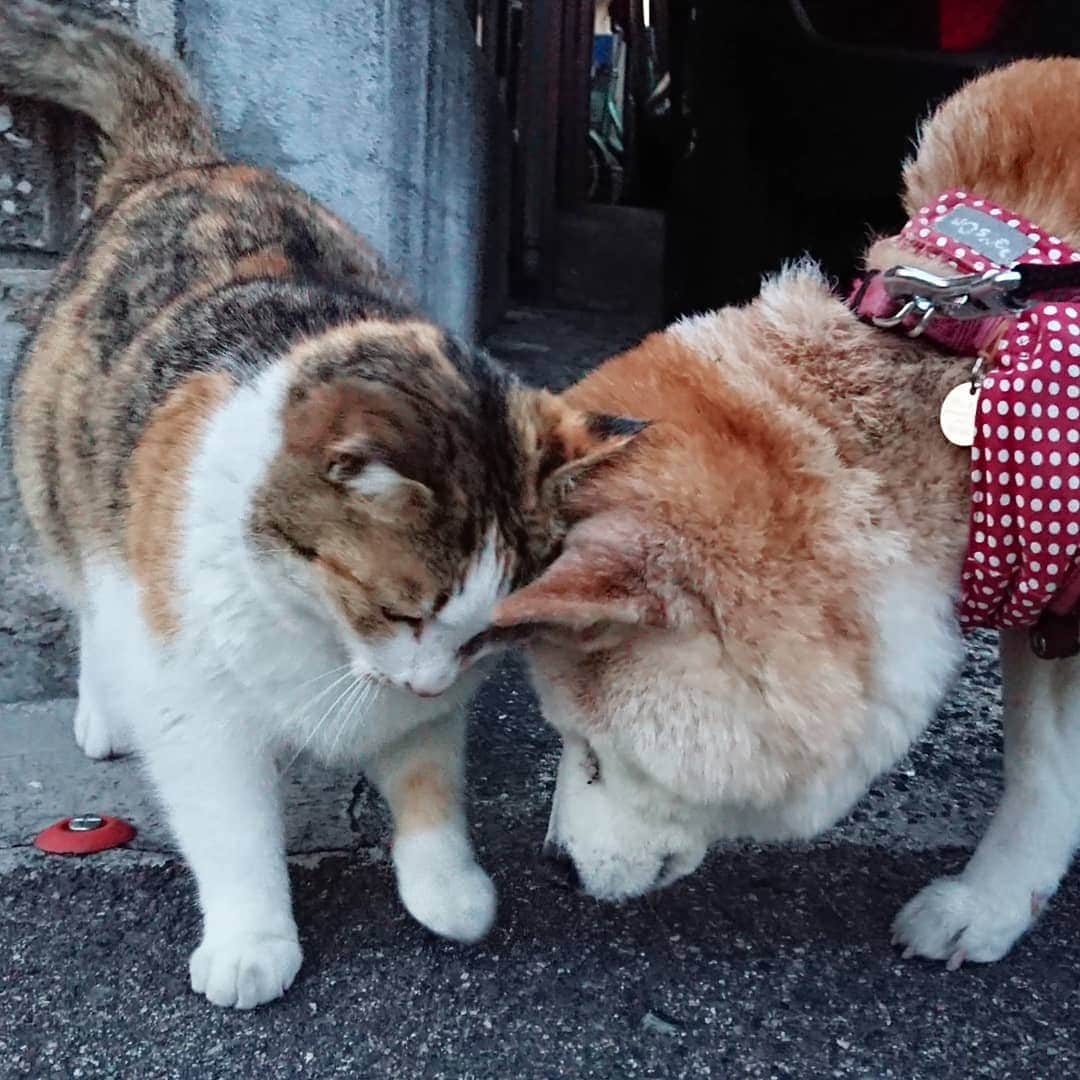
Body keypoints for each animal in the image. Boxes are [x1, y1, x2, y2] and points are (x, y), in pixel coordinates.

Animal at [0, 4, 639, 1006]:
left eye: (489, 635)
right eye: (399, 608)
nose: (427, 678)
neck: (321, 636)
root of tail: (182, 162)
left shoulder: (425, 707)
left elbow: (427, 776)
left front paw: (446, 884)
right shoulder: (195, 698)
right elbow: (230, 825)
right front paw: (252, 939)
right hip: (65, 486)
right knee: (92, 603)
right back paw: (104, 711)